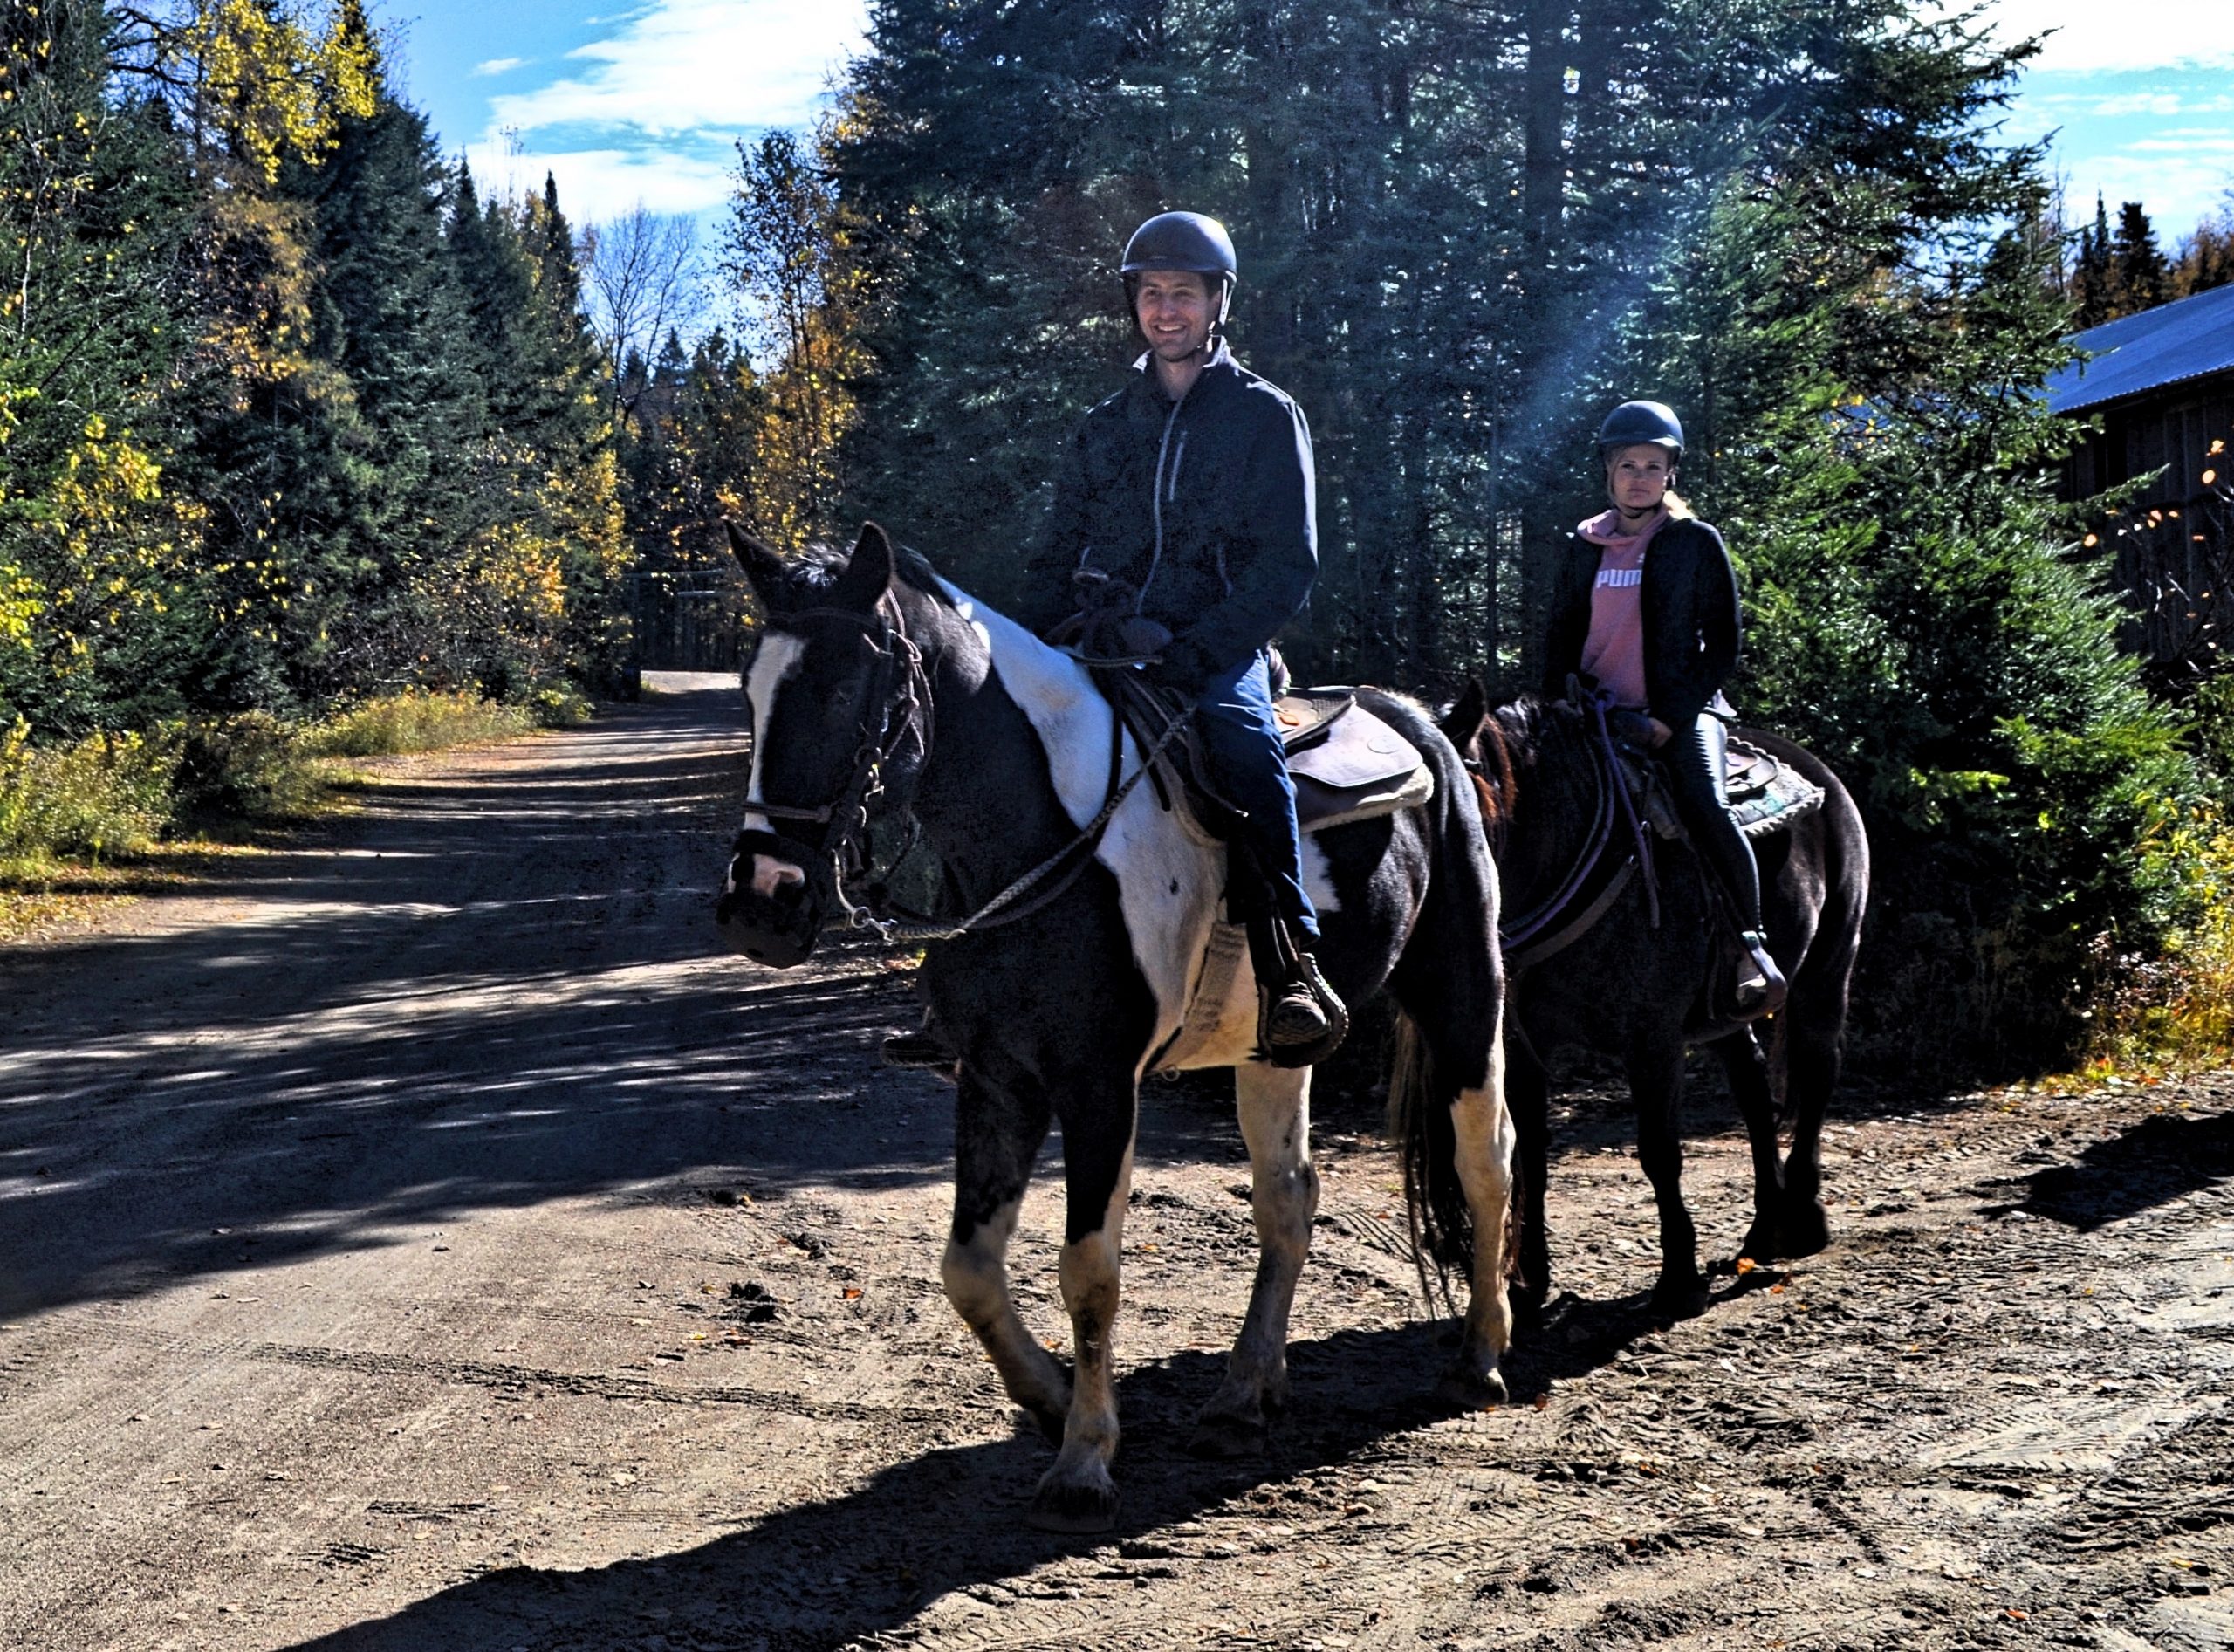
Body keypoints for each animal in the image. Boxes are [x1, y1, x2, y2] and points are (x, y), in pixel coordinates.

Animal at [723, 527, 1510, 1538]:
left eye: (841, 687)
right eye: (753, 692)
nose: (760, 905)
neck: (1044, 835)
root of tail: (1427, 723)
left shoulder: (1098, 1084)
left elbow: (1089, 1268)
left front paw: (1085, 1458)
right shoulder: (997, 1077)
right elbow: (968, 1268)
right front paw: (1052, 1400)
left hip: (1463, 995)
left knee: (1484, 1163)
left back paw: (1480, 1357)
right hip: (1276, 1048)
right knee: (1288, 1195)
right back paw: (1244, 1394)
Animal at [1429, 693, 1867, 1323]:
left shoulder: (1652, 1041)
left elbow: (1660, 1153)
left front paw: (1678, 1279)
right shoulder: (1523, 1045)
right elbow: (1529, 1155)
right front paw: (1528, 1283)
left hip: (1830, 964)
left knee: (1817, 1070)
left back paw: (1804, 1216)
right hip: (1726, 1009)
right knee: (1753, 1086)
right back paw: (1765, 1227)